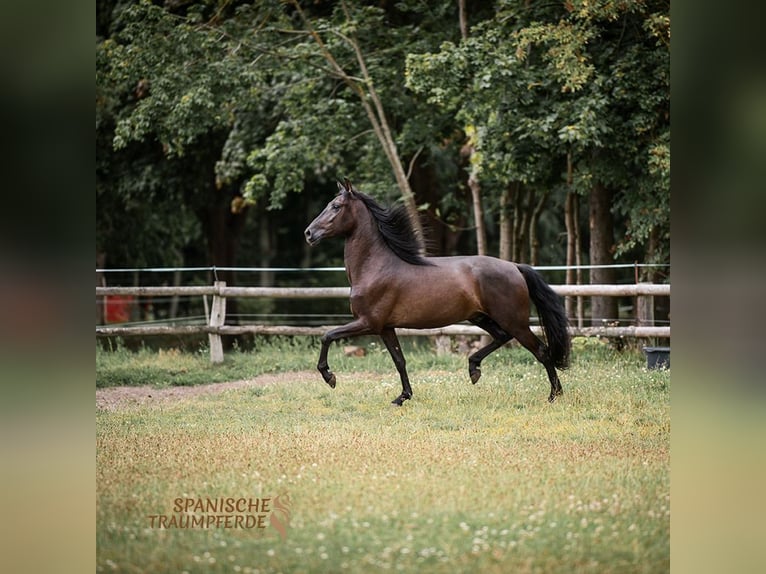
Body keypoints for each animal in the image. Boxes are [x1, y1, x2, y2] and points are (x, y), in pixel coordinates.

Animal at [304, 180, 568, 410]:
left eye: (336, 206)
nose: (308, 233)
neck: (375, 267)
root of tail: (515, 267)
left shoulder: (368, 323)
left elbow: (327, 336)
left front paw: (329, 377)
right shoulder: (385, 327)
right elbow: (399, 361)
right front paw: (403, 397)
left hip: (515, 321)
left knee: (541, 351)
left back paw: (554, 396)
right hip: (479, 316)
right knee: (502, 337)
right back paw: (474, 369)